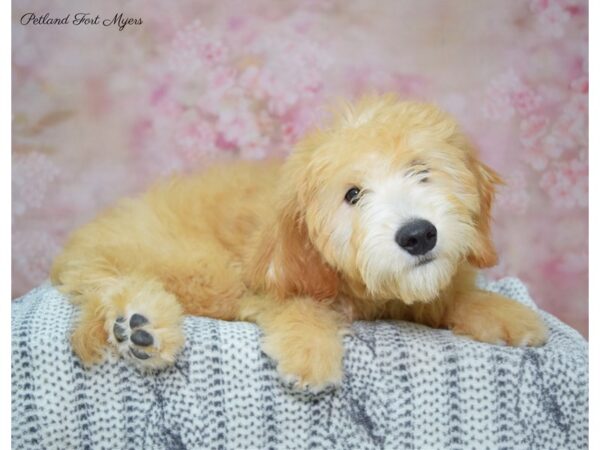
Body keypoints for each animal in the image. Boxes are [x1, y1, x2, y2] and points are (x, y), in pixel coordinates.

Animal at [51, 94, 548, 390]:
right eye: (353, 194)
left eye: (422, 171)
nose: (418, 234)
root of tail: (80, 245)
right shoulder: (263, 285)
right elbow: (298, 303)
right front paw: (310, 349)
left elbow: (449, 296)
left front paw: (505, 313)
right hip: (201, 271)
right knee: (118, 284)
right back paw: (141, 326)